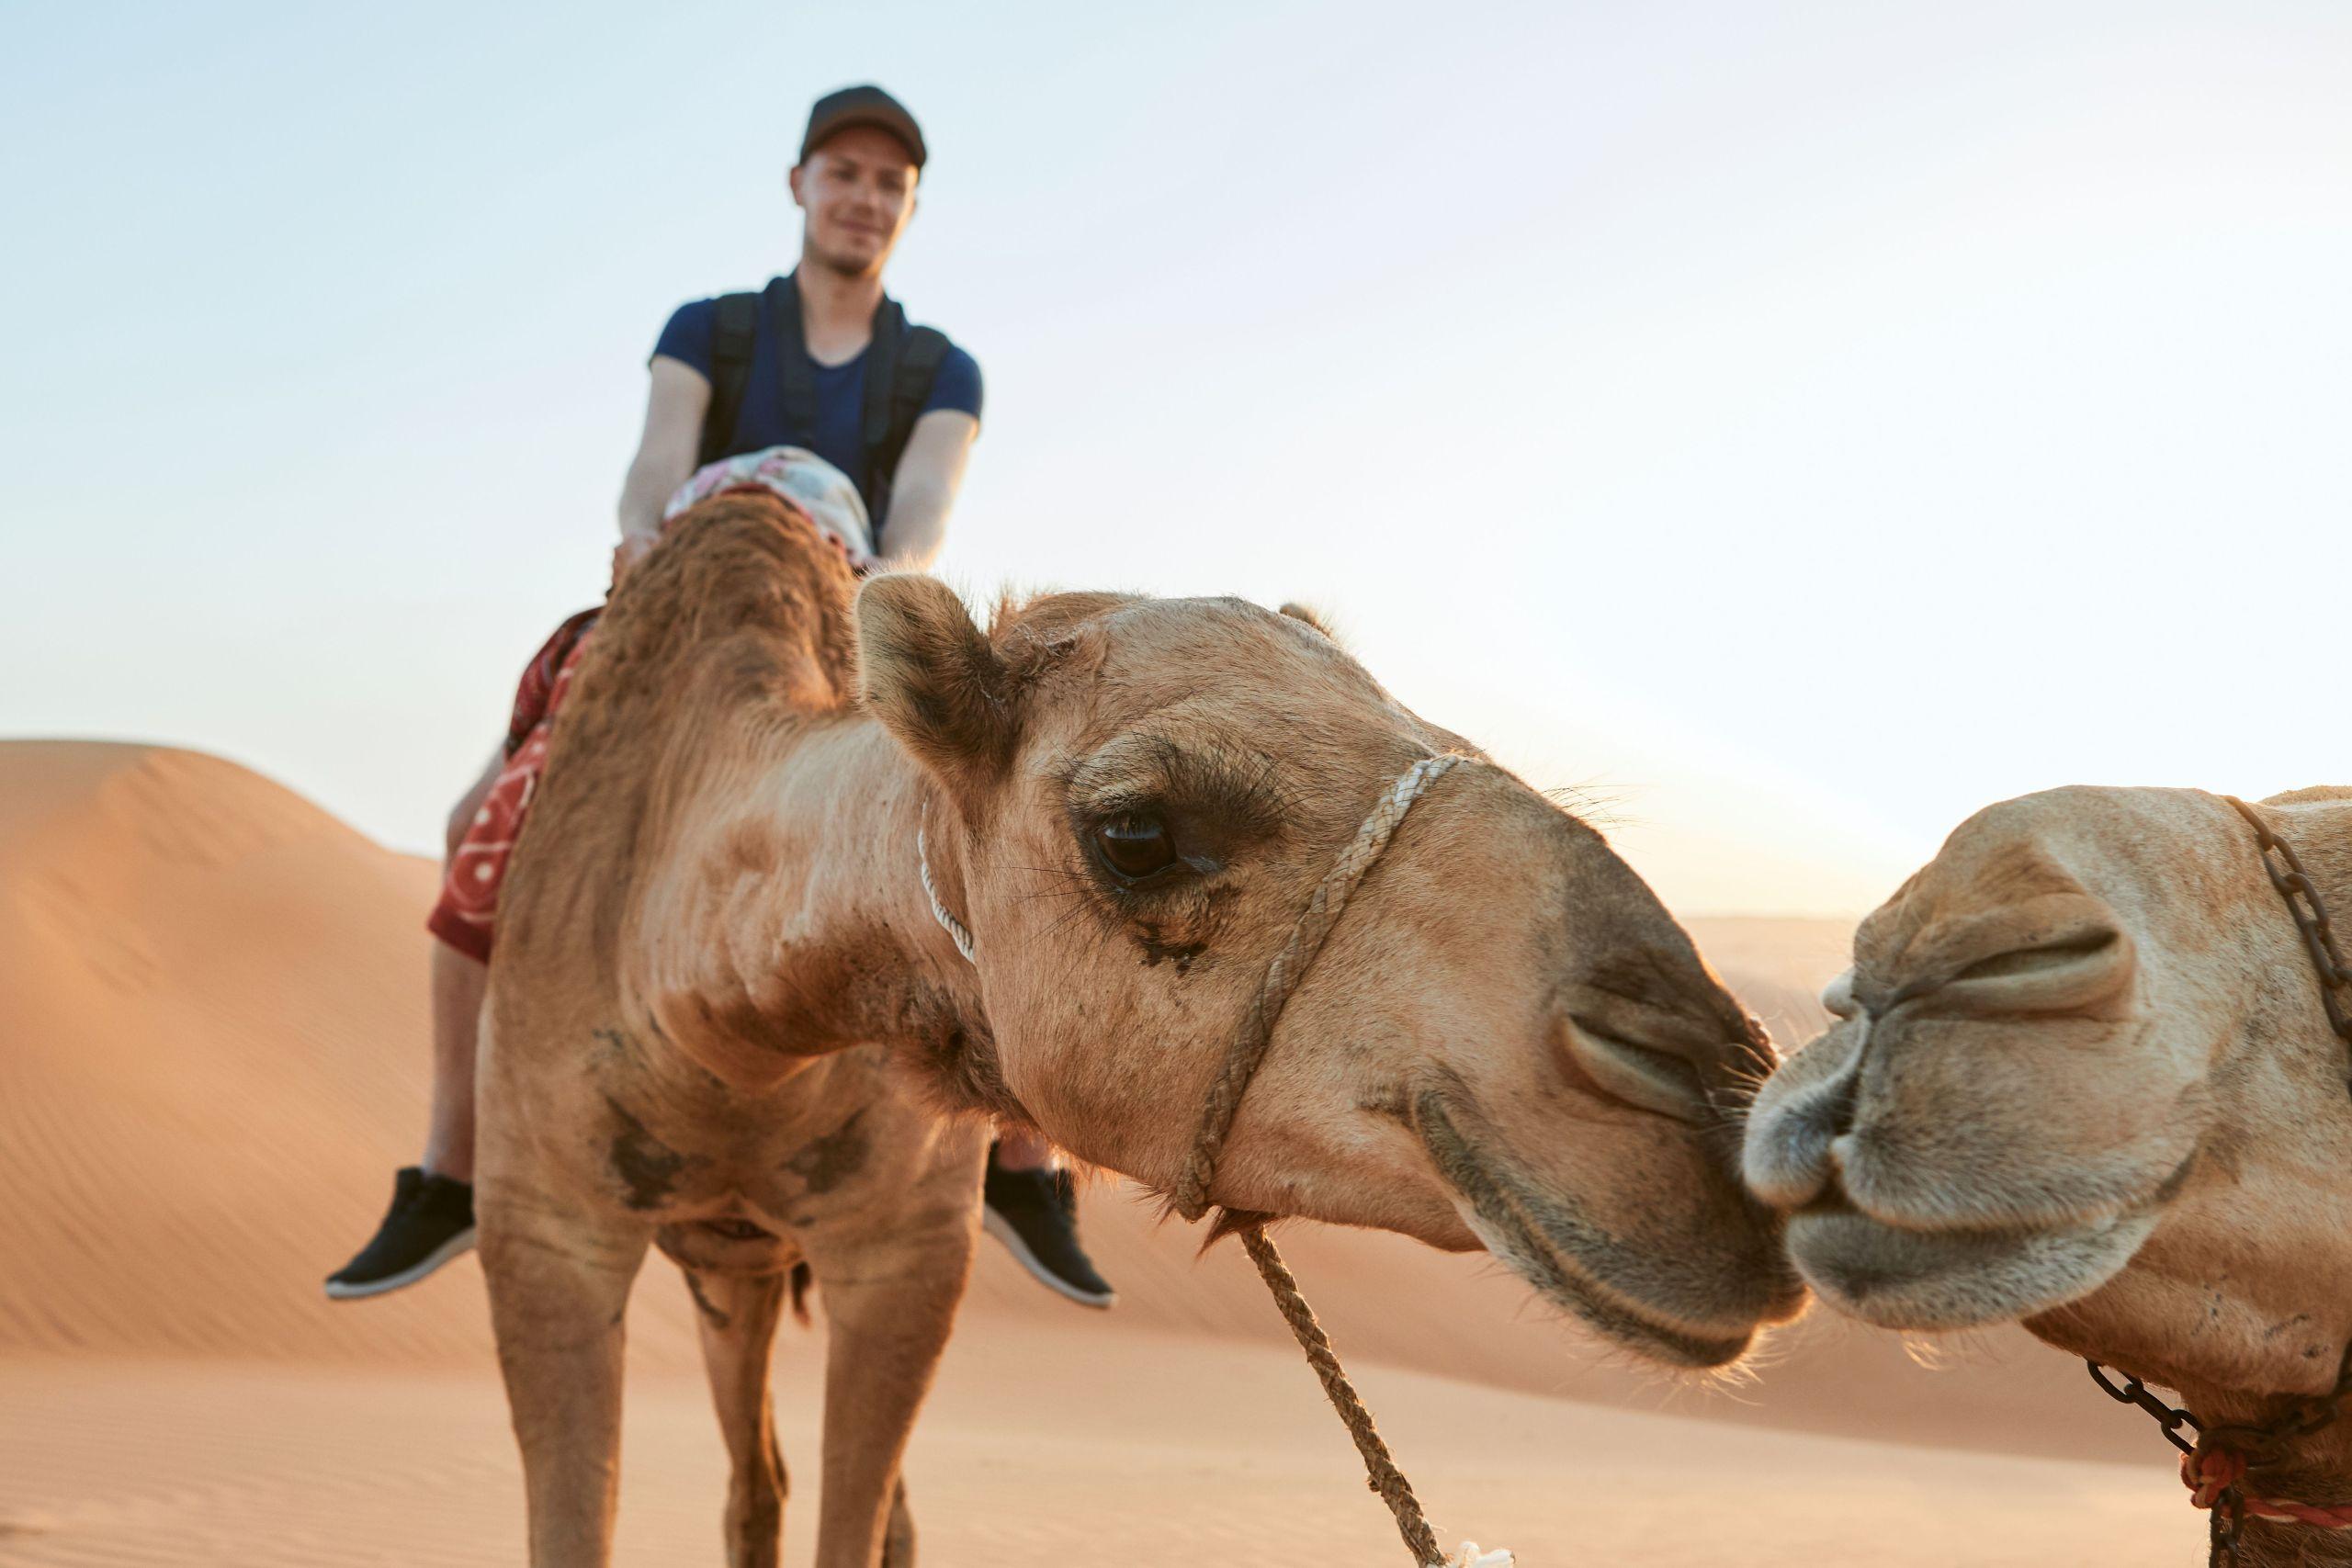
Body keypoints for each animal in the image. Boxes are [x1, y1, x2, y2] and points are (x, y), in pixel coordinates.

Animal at [479, 488, 1804, 1568]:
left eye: (1454, 741)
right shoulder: (544, 1234)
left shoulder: (908, 1253)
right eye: (1138, 831)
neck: (724, 1007)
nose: (1719, 1092)